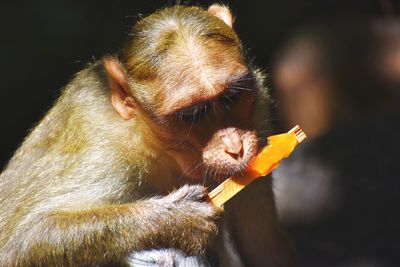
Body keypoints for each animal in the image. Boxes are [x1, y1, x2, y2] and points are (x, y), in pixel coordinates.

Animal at [0, 2, 296, 267]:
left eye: (231, 97)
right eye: (191, 114)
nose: (235, 147)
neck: (156, 144)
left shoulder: (259, 112)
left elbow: (262, 246)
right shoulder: (103, 147)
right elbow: (21, 243)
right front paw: (178, 218)